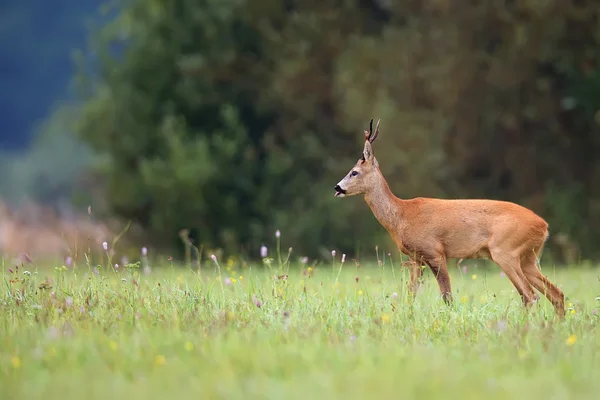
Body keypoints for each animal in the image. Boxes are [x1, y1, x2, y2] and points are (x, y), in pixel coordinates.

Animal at [336, 117, 564, 318]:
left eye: (354, 172)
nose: (337, 188)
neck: (401, 216)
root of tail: (544, 226)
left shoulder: (435, 252)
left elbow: (447, 296)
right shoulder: (416, 258)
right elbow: (410, 295)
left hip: (505, 251)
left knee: (530, 295)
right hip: (528, 258)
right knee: (556, 294)